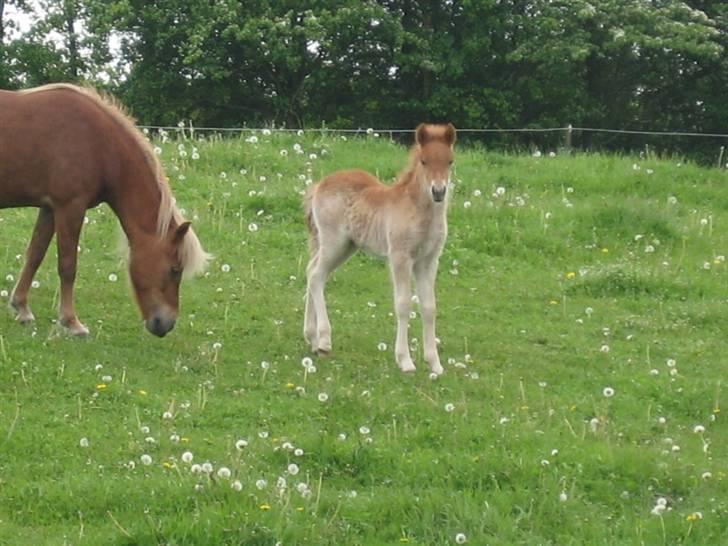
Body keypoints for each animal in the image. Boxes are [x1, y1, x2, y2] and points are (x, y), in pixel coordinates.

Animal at [0, 84, 210, 336]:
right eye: (175, 269)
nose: (165, 325)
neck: (100, 144)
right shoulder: (70, 207)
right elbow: (68, 266)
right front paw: (71, 322)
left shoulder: (50, 207)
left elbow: (35, 255)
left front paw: (21, 308)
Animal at [302, 122, 456, 374]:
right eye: (424, 161)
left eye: (450, 161)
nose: (438, 192)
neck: (419, 211)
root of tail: (318, 185)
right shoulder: (400, 257)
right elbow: (403, 303)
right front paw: (405, 361)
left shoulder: (428, 261)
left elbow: (429, 307)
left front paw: (435, 364)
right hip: (334, 242)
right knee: (316, 275)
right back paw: (323, 341)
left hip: (344, 246)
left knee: (311, 271)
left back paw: (312, 338)